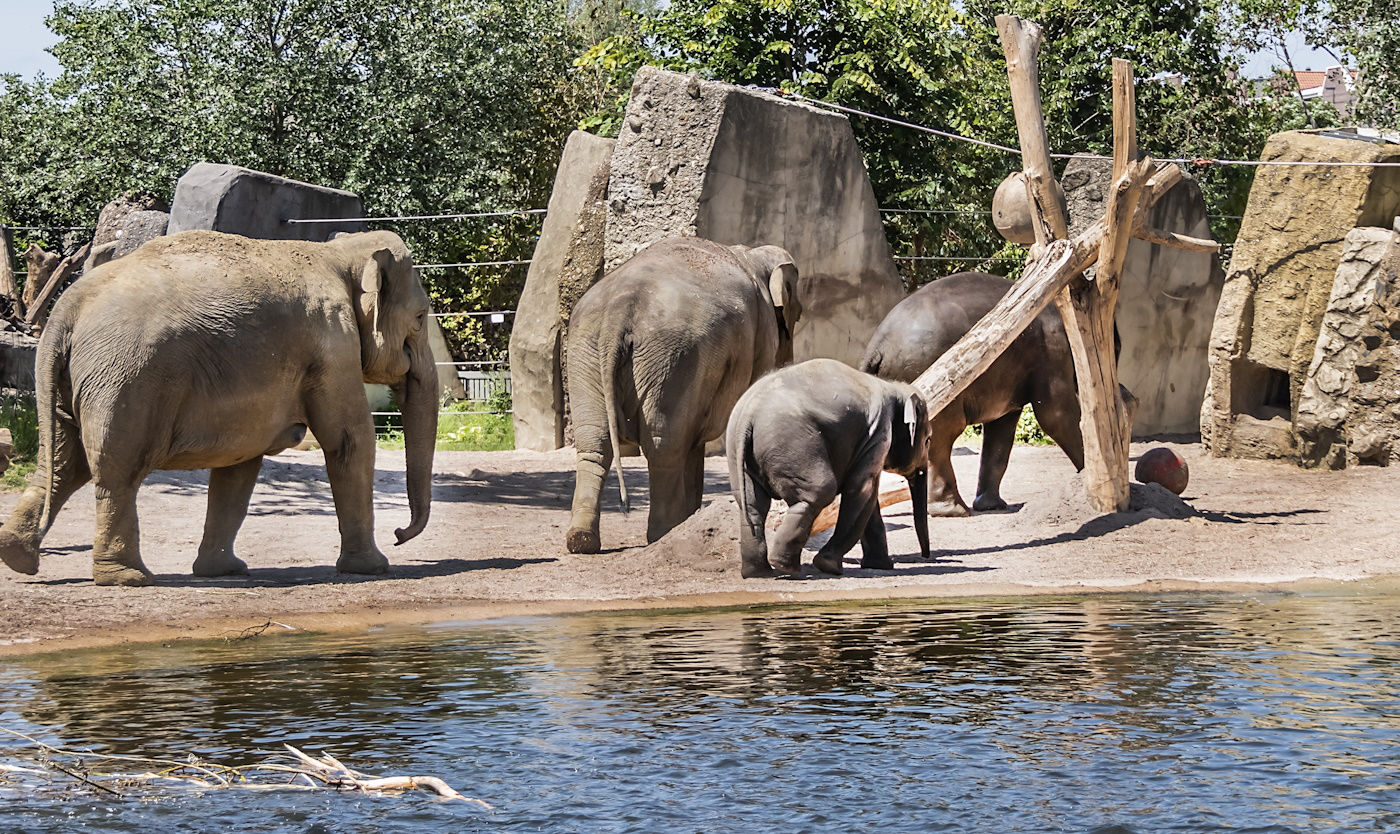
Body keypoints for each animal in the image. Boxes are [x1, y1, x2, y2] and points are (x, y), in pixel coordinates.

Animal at [0, 229, 438, 586]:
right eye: (420, 317)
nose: (400, 535)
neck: (339, 252)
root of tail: (66, 308)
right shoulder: (332, 342)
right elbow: (348, 440)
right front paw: (374, 568)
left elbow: (241, 460)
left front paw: (225, 570)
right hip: (125, 379)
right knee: (115, 471)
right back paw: (128, 578)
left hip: (77, 381)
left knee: (61, 463)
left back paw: (18, 557)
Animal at [565, 236, 801, 553]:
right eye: (797, 314)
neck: (751, 254)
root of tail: (619, 308)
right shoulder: (761, 335)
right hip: (673, 356)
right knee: (663, 443)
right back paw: (663, 533)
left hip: (586, 352)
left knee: (595, 442)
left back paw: (582, 540)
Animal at [726, 358, 931, 578]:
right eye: (928, 440)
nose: (925, 556)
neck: (894, 387)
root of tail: (750, 413)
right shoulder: (878, 434)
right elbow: (862, 488)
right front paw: (830, 566)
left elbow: (869, 497)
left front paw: (880, 565)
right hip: (794, 445)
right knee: (819, 491)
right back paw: (785, 566)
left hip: (739, 451)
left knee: (752, 505)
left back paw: (758, 572)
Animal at [860, 271, 1084, 517]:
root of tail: (877, 347)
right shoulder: (1053, 348)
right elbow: (1055, 415)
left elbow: (1001, 427)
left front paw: (992, 505)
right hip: (927, 372)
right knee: (943, 433)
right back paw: (953, 510)